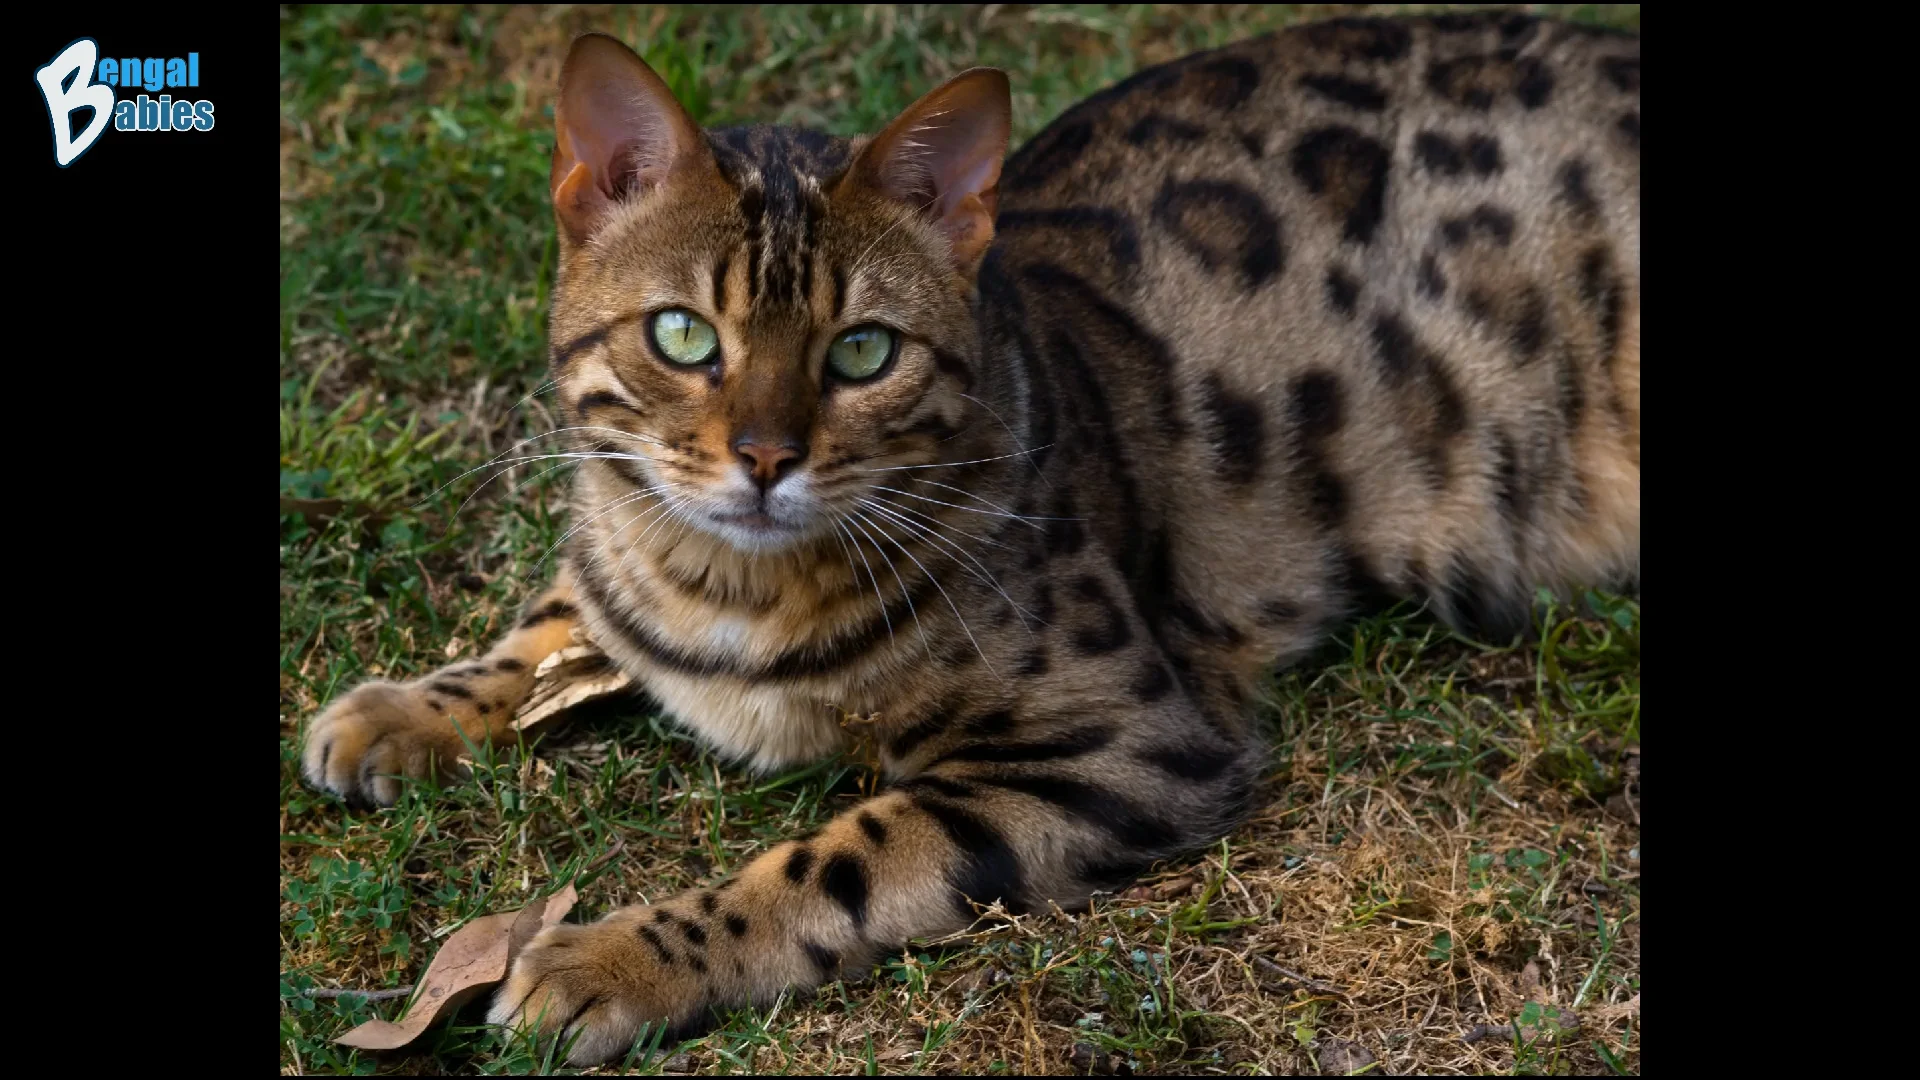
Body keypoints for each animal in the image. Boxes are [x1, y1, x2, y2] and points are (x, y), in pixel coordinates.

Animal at [295, 12, 1635, 1060]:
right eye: (681, 336)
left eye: (861, 352)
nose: (764, 460)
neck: (729, 590)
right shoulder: (624, 561)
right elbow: (552, 614)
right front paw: (399, 710)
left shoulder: (1126, 747)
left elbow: (824, 867)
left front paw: (618, 957)